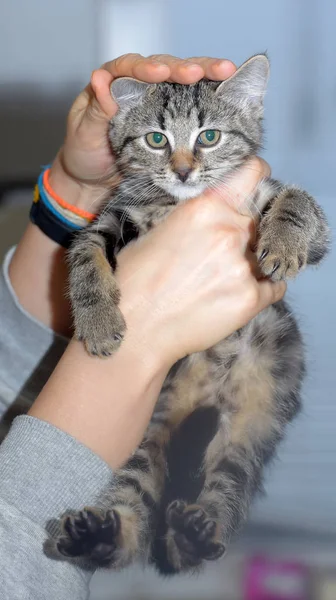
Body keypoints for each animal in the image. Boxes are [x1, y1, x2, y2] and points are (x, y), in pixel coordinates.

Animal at [55, 57, 330, 576]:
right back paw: (102, 535)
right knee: (135, 505)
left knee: (228, 487)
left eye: (210, 136)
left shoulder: (280, 204)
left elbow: (300, 203)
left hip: (253, 427)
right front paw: (98, 321)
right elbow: (83, 250)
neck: (177, 204)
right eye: (156, 139)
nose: (183, 171)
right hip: (145, 433)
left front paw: (284, 244)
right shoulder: (116, 215)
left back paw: (196, 533)